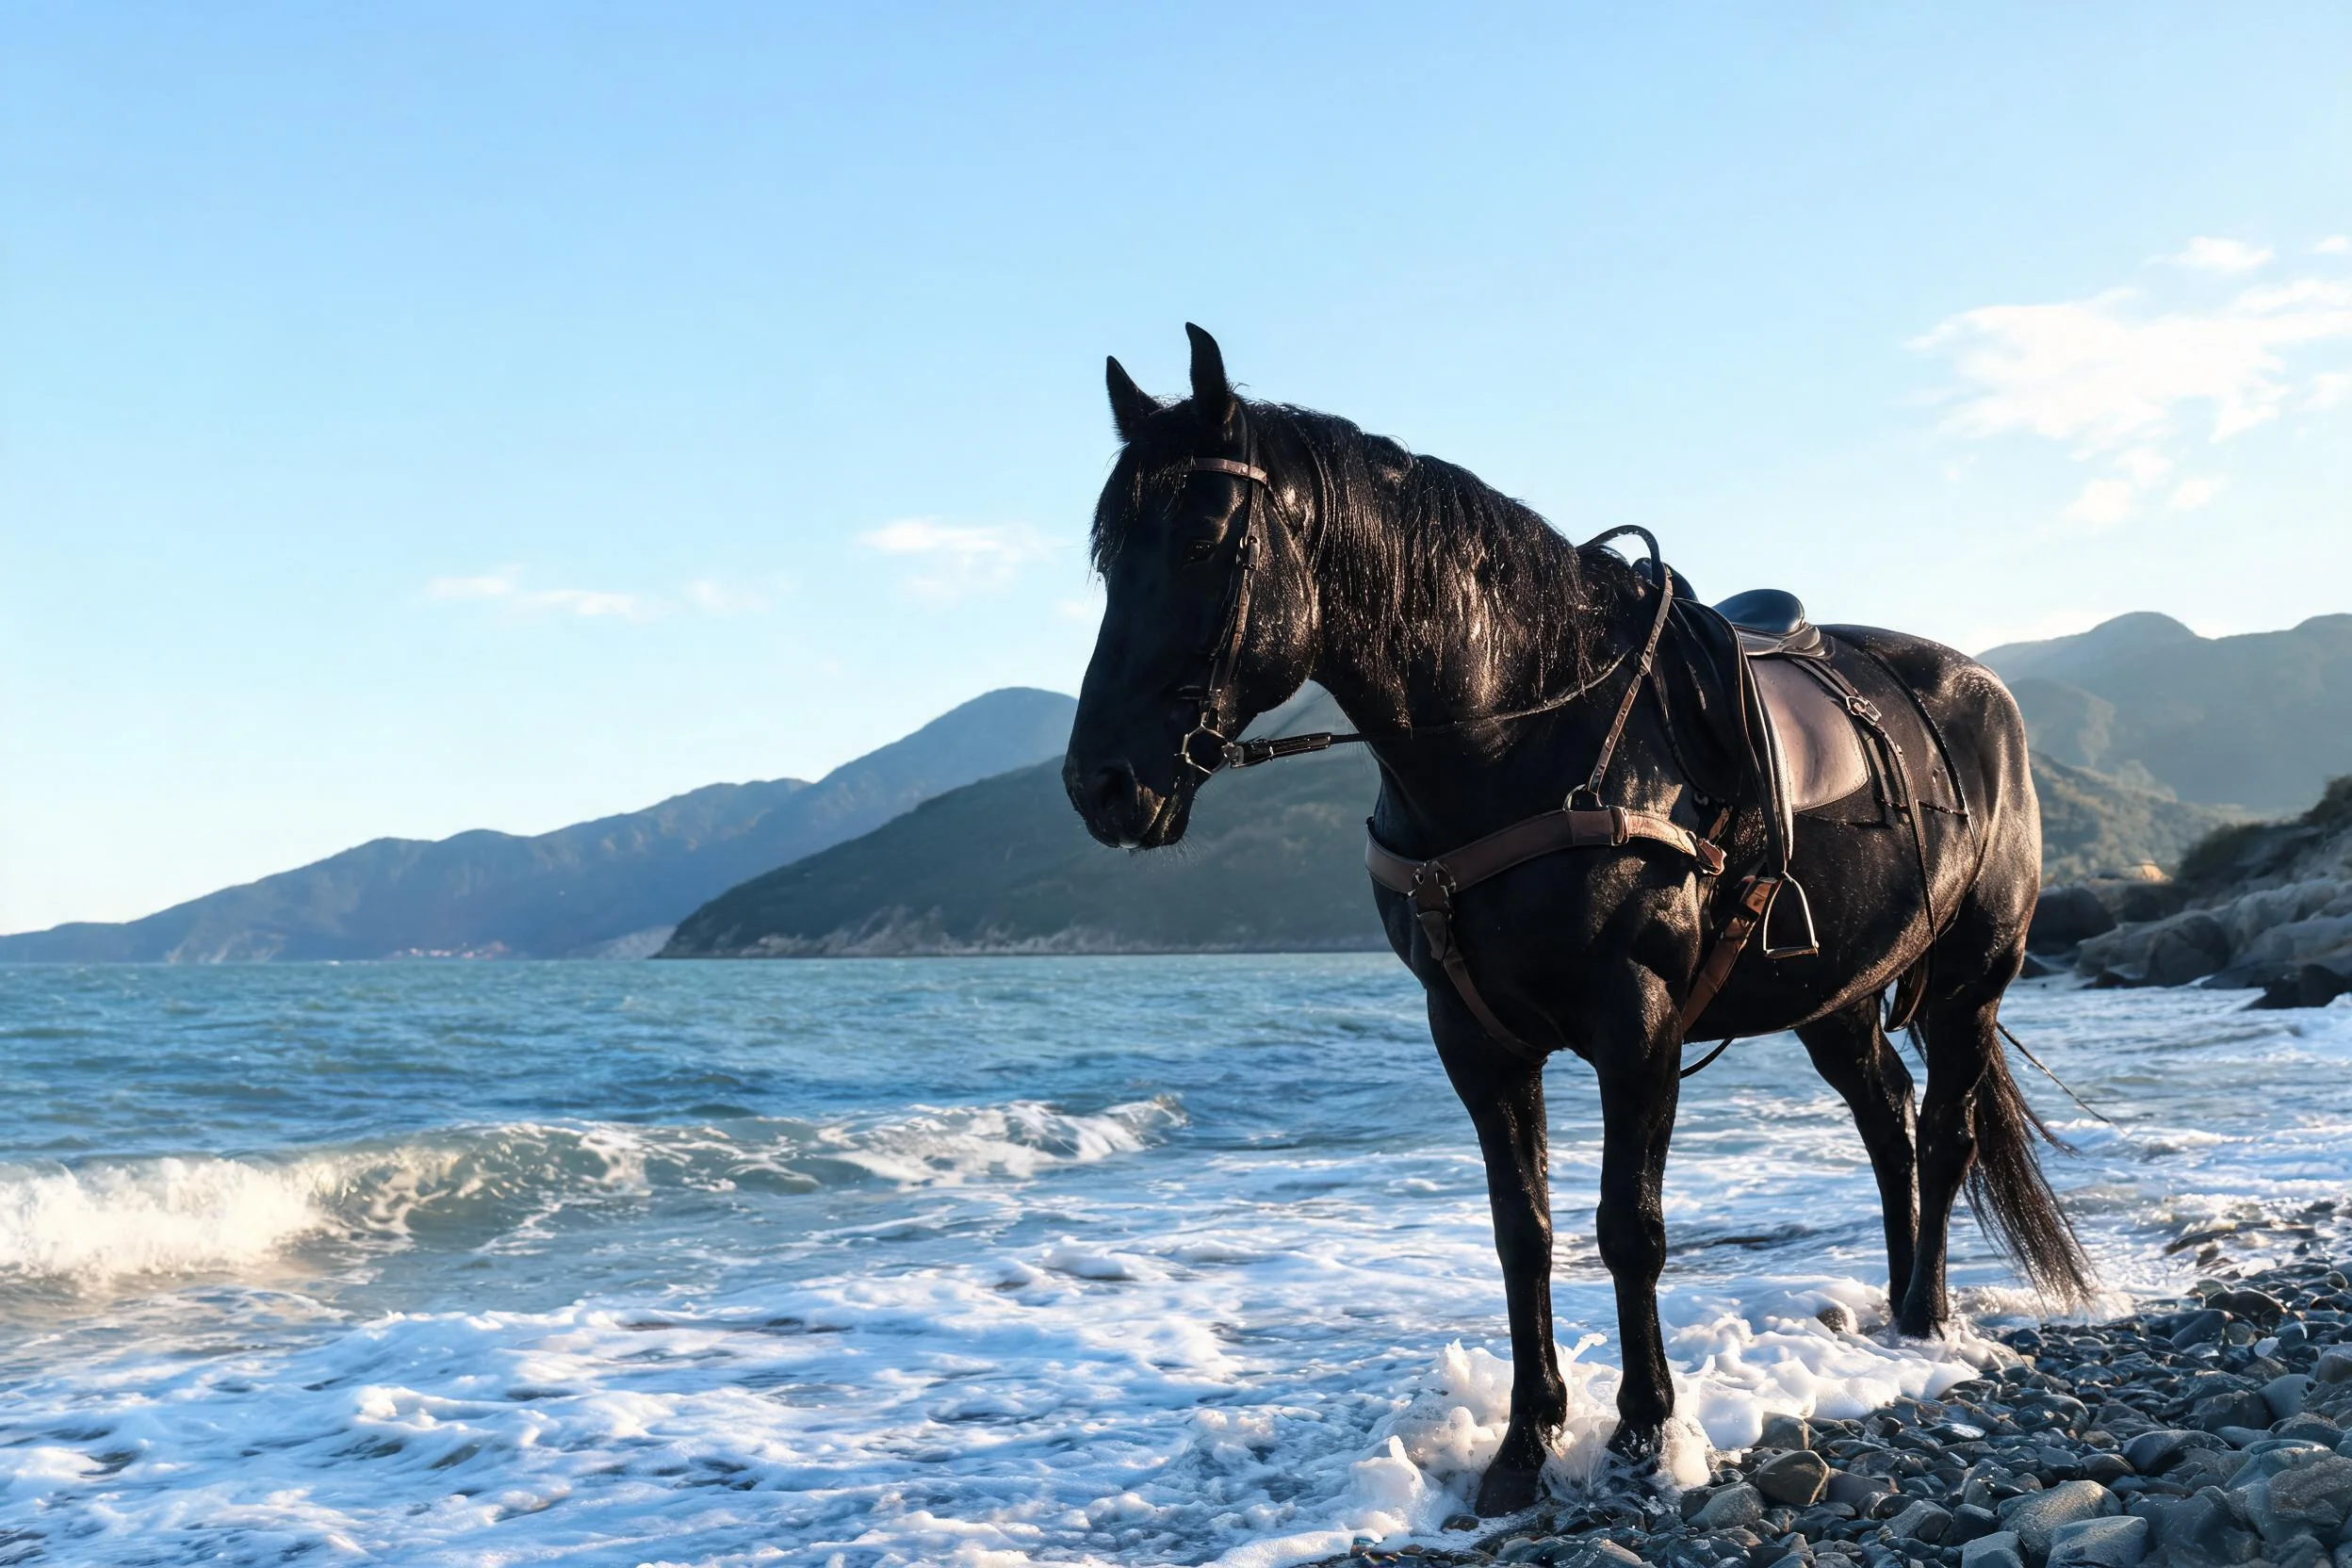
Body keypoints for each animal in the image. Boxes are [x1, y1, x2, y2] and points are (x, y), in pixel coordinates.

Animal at [1062, 325, 2094, 1514]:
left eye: (1204, 542)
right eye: (1108, 558)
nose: (1101, 783)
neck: (1517, 732)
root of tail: (1981, 690)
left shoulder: (1634, 1022)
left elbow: (1627, 1229)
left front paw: (1645, 1428)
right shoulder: (1474, 1036)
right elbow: (1526, 1234)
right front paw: (1525, 1441)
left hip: (1971, 979)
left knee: (1942, 1131)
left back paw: (1924, 1317)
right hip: (1832, 992)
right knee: (1886, 1119)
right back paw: (1889, 1312)